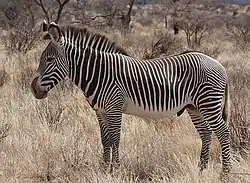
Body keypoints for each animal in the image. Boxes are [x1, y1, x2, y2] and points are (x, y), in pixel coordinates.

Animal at [30, 21, 230, 180]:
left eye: (50, 59)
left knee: (223, 132)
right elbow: (105, 140)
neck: (99, 73)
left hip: (208, 103)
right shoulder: (100, 112)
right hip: (194, 107)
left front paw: (116, 170)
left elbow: (115, 139)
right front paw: (105, 169)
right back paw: (202, 169)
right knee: (206, 134)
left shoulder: (114, 108)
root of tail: (219, 64)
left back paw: (225, 173)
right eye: (42, 59)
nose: (34, 89)